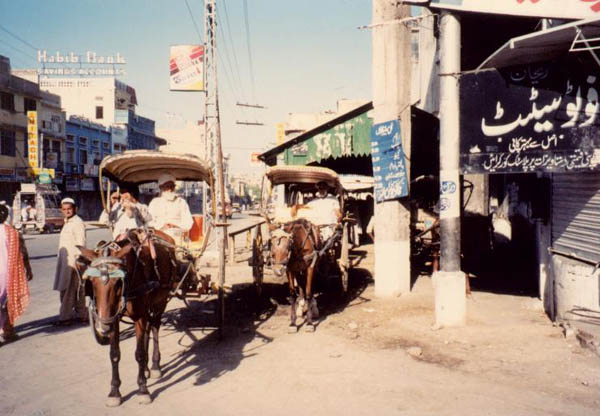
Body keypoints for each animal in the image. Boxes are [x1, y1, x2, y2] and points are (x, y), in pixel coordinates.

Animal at [77, 228, 178, 407]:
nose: (103, 326)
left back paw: (154, 366)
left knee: (154, 328)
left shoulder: (139, 317)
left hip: (160, 302)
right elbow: (114, 354)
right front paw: (114, 391)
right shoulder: (114, 318)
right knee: (147, 331)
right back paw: (146, 369)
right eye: (92, 282)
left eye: (118, 282)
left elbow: (139, 354)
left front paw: (143, 390)